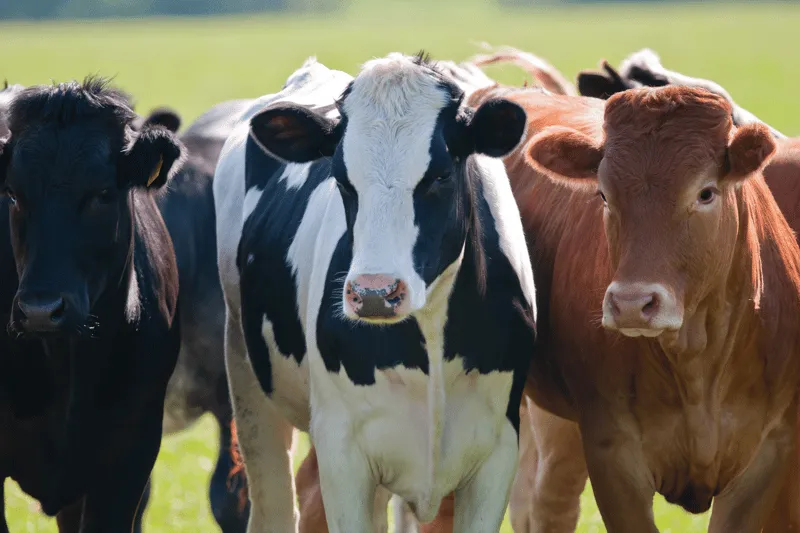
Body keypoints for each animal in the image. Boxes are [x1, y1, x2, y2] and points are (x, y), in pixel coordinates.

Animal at [213, 52, 537, 533]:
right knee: (273, 504)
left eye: (440, 175)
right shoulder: (341, 451)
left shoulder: (498, 450)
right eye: (343, 180)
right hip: (246, 376)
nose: (374, 293)